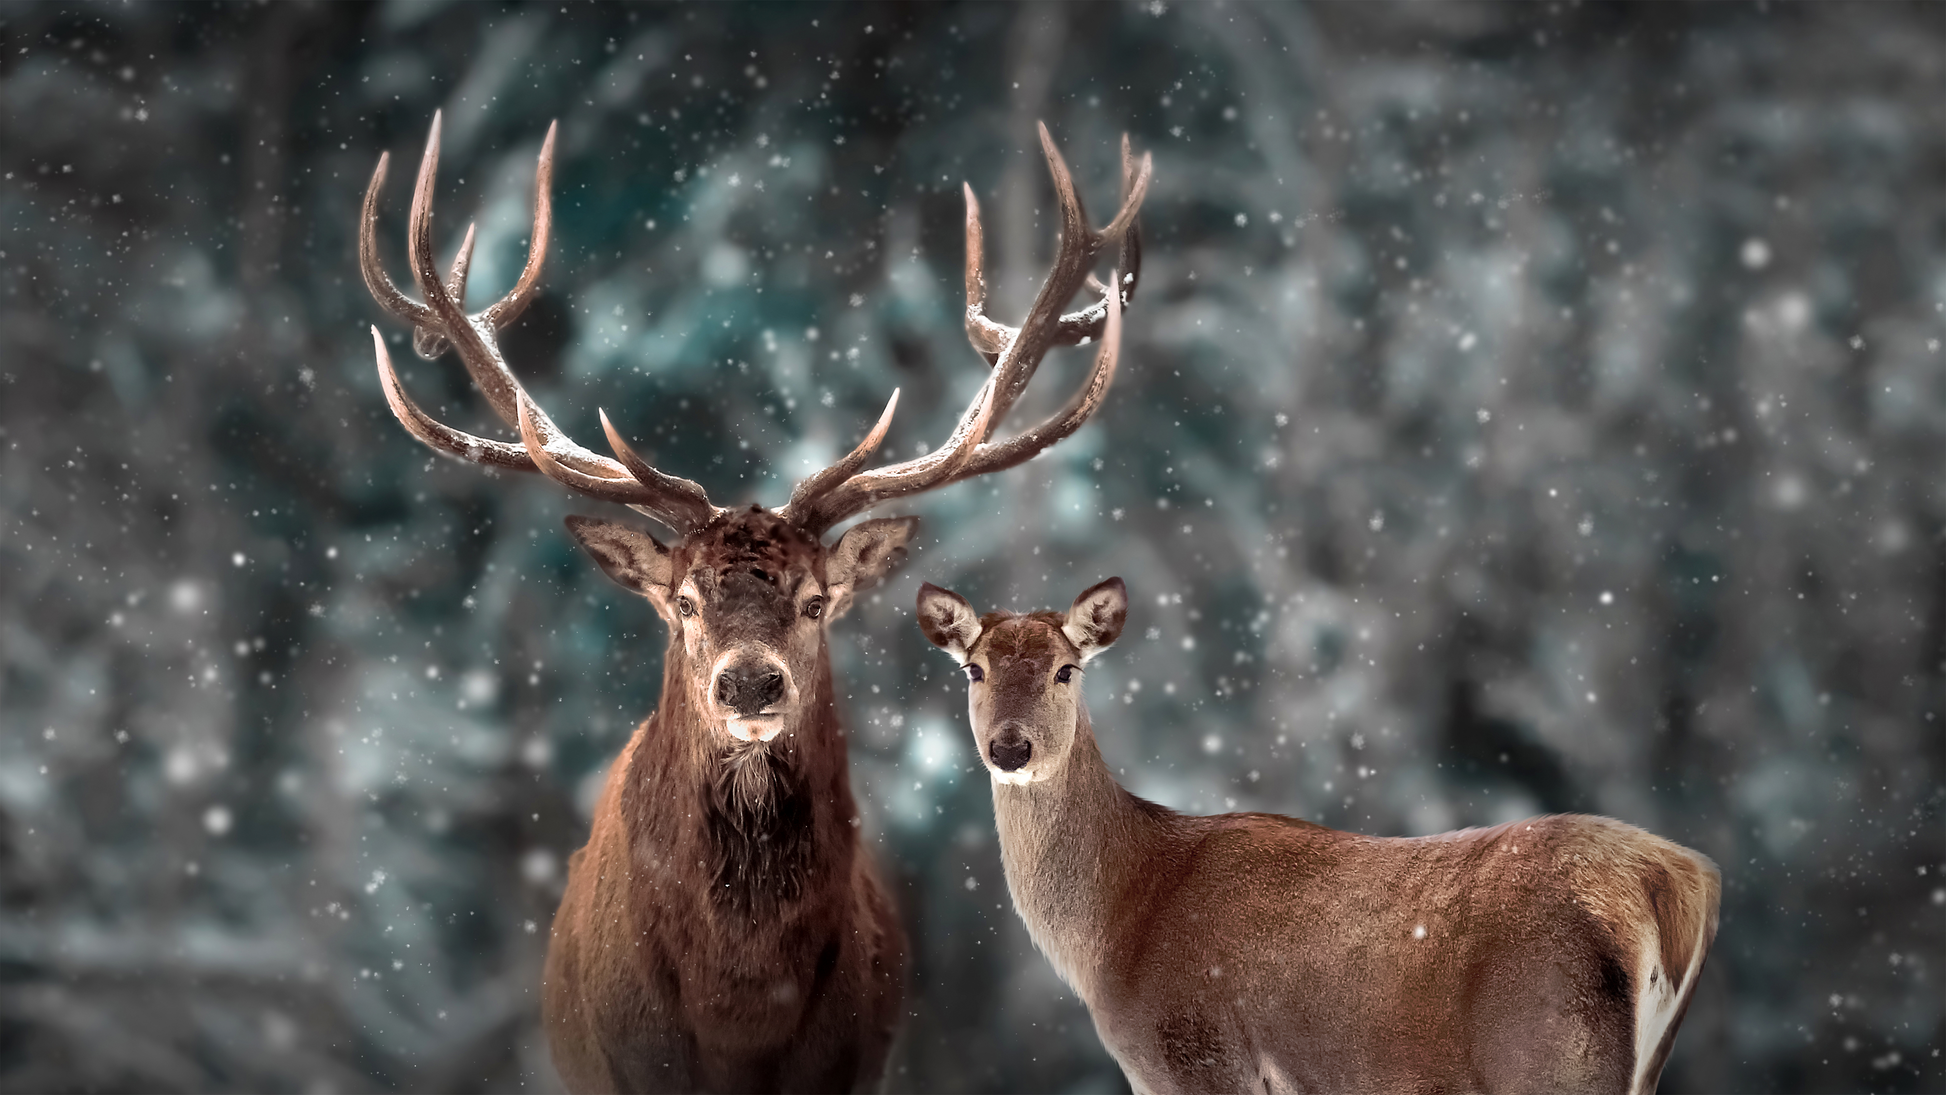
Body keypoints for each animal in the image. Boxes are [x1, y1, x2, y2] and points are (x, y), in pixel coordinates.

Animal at [916, 578, 1720, 1095]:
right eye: (974, 668)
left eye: (1066, 669)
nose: (1010, 747)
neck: (1117, 923)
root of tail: (1678, 881)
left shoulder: (1197, 1059)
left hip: (1547, 1047)